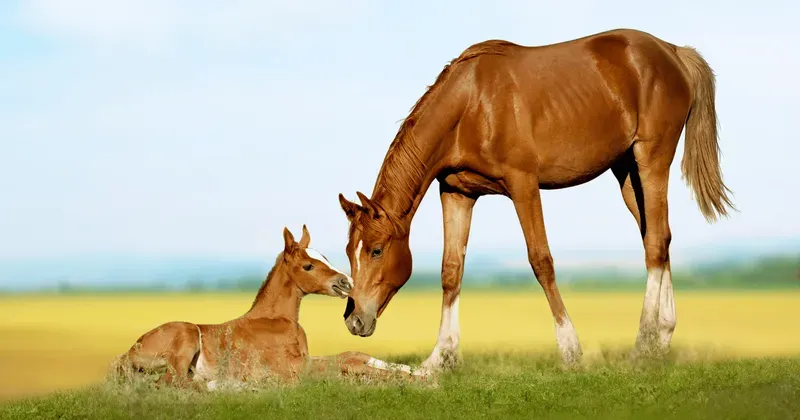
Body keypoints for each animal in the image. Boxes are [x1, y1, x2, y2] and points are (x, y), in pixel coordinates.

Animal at [114, 225, 428, 390]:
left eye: (324, 256)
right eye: (308, 265)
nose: (346, 281)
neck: (276, 320)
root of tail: (127, 354)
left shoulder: (305, 359)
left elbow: (352, 354)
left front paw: (419, 372)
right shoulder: (295, 368)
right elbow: (346, 362)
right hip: (187, 335)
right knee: (173, 381)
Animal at [336, 28, 736, 370]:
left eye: (376, 250)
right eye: (349, 251)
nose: (354, 320)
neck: (471, 105)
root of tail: (673, 52)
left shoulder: (523, 185)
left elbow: (541, 260)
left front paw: (571, 350)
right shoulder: (457, 192)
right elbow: (451, 270)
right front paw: (440, 357)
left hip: (651, 158)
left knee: (654, 243)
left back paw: (643, 344)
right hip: (626, 172)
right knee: (660, 238)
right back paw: (661, 339)